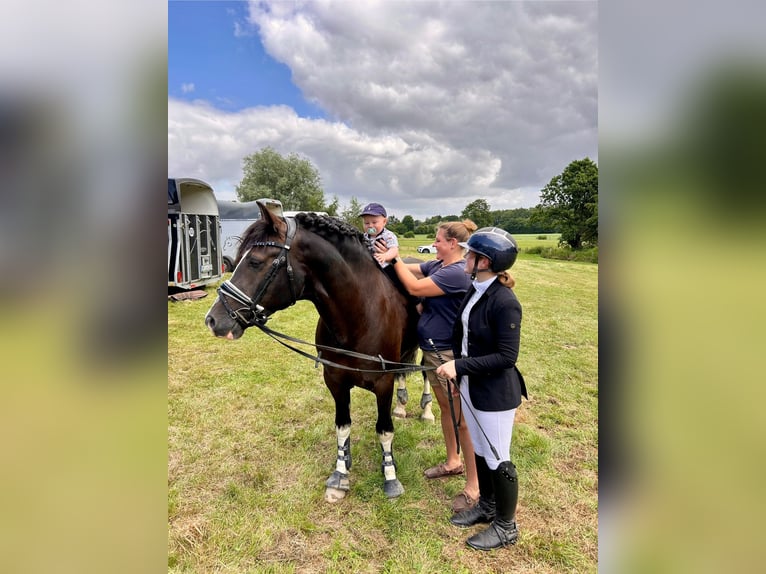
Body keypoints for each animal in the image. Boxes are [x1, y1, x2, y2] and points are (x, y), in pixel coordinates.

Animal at [204, 199, 420, 502]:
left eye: (255, 261)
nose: (213, 320)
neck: (359, 315)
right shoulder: (335, 380)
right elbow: (343, 425)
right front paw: (340, 473)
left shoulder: (383, 382)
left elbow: (384, 430)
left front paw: (390, 475)